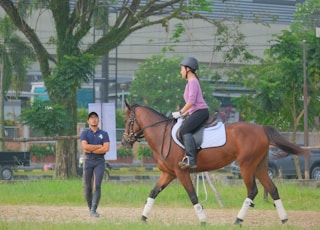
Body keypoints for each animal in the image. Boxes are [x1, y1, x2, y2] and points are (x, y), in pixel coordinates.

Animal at [120, 101, 310, 226]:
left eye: (128, 121)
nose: (124, 142)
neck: (163, 135)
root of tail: (261, 128)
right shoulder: (169, 173)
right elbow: (153, 193)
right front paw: (143, 218)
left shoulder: (181, 173)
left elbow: (193, 196)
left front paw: (203, 220)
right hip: (260, 166)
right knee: (272, 189)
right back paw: (284, 219)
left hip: (246, 166)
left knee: (253, 190)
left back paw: (238, 220)